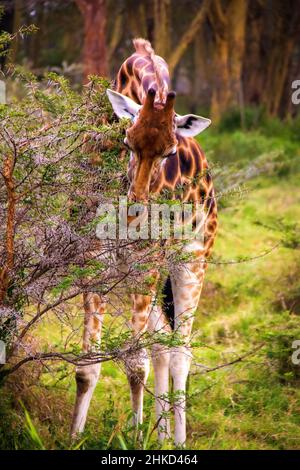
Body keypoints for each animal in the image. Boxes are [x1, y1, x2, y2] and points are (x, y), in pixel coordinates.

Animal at [71, 38, 217, 446]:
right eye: (127, 141)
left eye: (170, 152)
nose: (136, 207)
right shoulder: (96, 258)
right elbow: (87, 367)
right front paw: (74, 438)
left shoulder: (146, 262)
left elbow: (135, 365)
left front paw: (136, 441)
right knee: (162, 344)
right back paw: (162, 435)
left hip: (191, 259)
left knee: (180, 350)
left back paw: (177, 440)